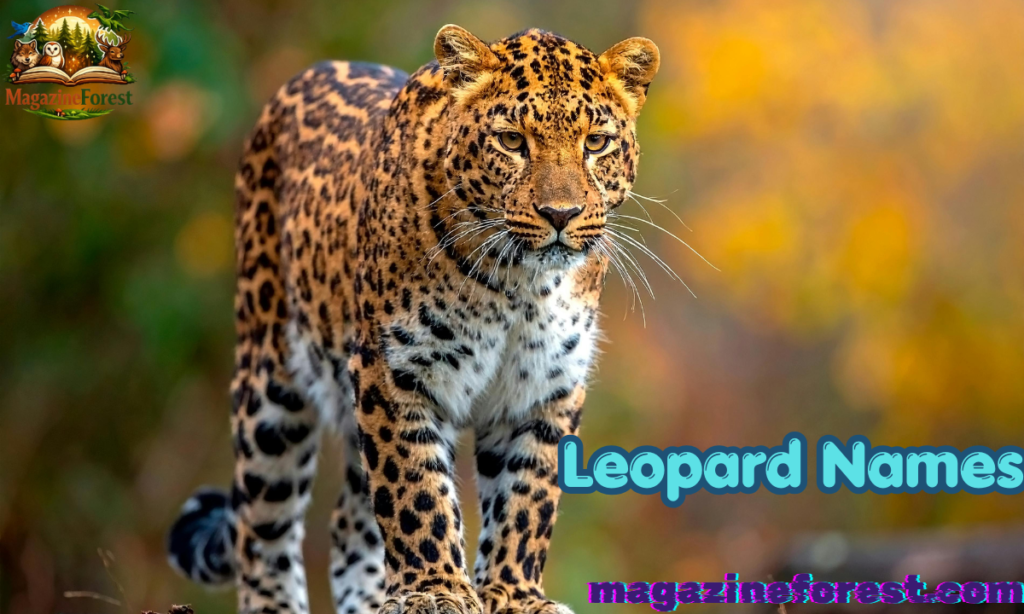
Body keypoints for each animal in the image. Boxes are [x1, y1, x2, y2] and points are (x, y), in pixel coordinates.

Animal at [168, 24, 660, 614]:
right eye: (512, 141)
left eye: (596, 143)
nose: (560, 215)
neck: (521, 285)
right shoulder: (394, 370)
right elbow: (414, 489)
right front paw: (436, 589)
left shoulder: (545, 386)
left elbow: (527, 496)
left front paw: (513, 594)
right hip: (270, 384)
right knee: (261, 528)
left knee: (347, 524)